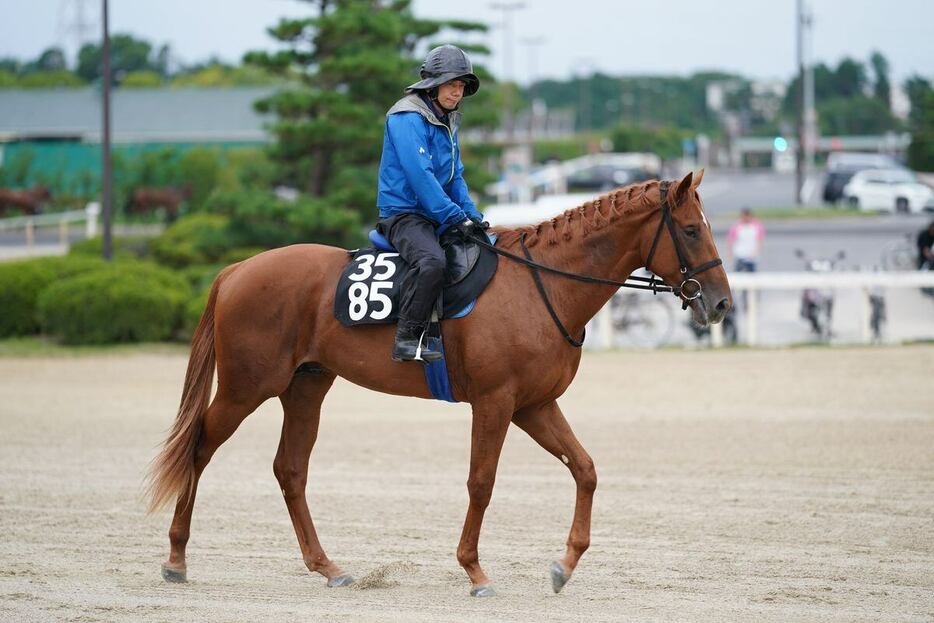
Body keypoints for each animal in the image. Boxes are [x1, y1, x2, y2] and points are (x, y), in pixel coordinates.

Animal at [146, 169, 736, 596]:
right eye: (690, 229)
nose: (721, 303)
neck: (540, 285)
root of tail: (237, 270)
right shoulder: (496, 403)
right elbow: (482, 482)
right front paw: (474, 571)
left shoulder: (535, 405)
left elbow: (585, 470)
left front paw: (563, 565)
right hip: (246, 387)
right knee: (198, 448)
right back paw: (176, 557)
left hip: (306, 386)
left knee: (290, 470)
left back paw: (327, 566)